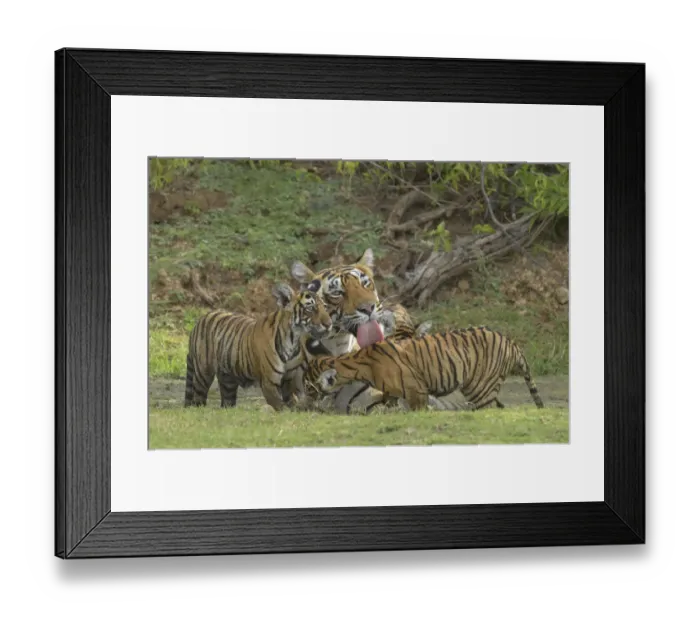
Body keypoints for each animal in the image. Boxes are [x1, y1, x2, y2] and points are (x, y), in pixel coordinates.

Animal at [184, 279, 332, 411]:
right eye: (310, 309)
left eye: (325, 307)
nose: (329, 324)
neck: (293, 339)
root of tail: (201, 318)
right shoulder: (269, 382)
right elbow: (281, 407)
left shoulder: (289, 379)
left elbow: (291, 402)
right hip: (203, 373)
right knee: (198, 399)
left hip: (228, 380)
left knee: (226, 402)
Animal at [302, 326, 545, 411]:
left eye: (309, 387)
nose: (303, 403)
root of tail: (512, 343)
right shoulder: (392, 394)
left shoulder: (416, 390)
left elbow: (417, 410)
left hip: (480, 388)